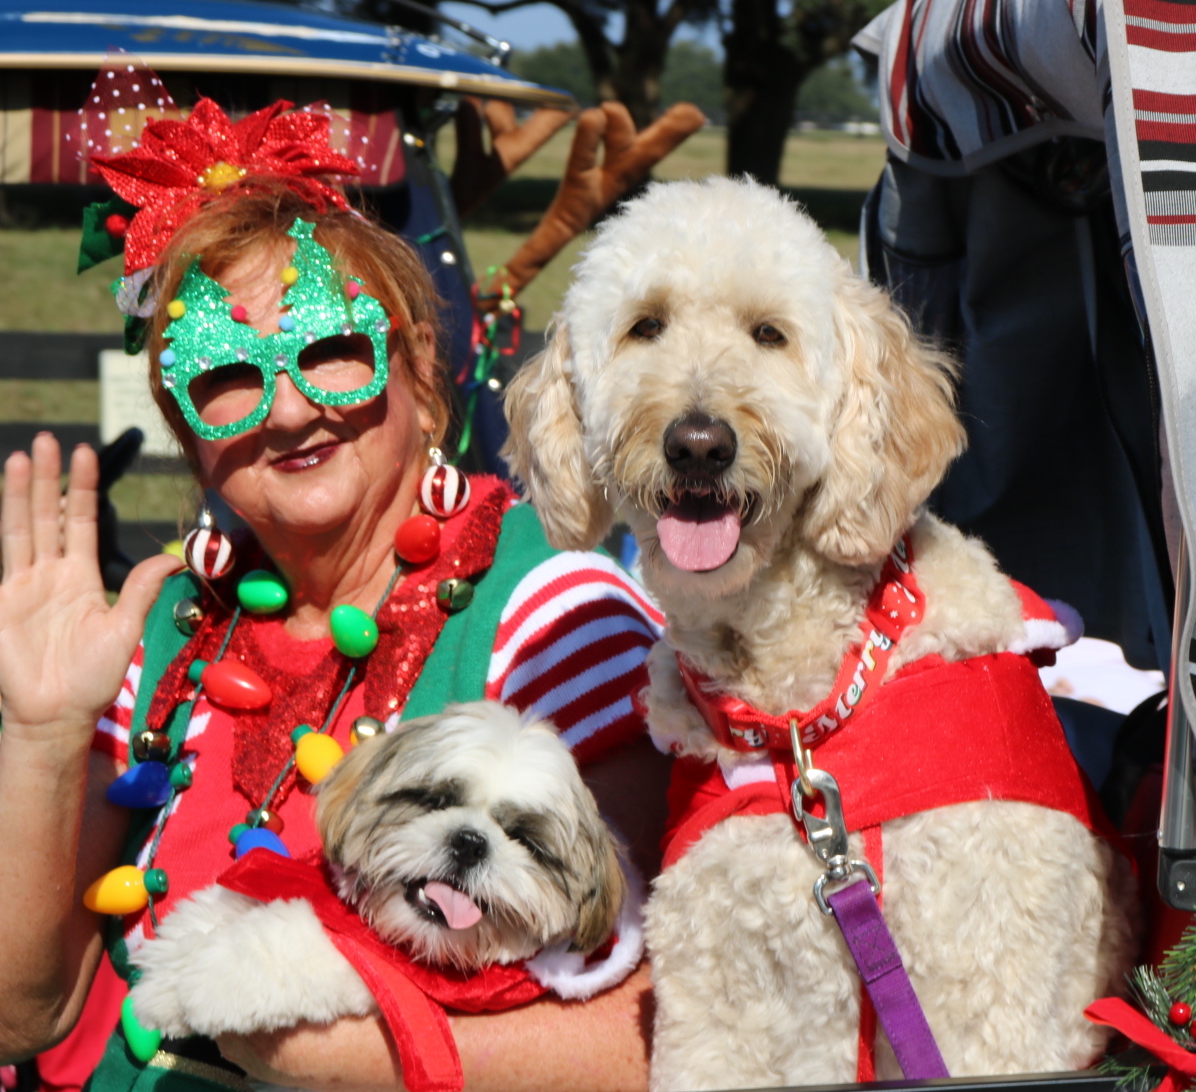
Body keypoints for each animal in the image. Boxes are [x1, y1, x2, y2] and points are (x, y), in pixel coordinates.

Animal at [129, 703, 631, 1033]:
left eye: (525, 839)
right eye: (434, 800)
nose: (471, 842)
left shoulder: (401, 974)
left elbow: (299, 941)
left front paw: (207, 977)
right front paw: (170, 970)